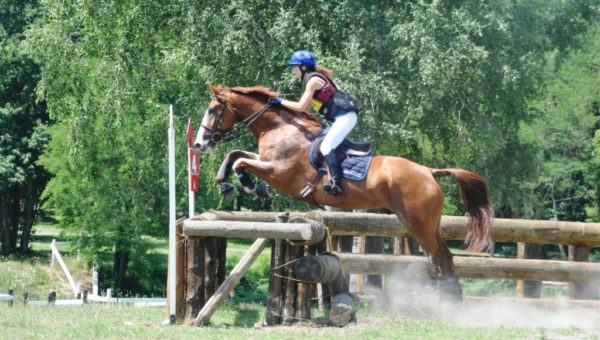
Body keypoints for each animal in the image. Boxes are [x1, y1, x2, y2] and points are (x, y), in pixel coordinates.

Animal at [193, 83, 492, 298]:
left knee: (440, 256)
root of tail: (429, 171)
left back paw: (448, 301)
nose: (199, 144)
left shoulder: (279, 173)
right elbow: (235, 154)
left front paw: (249, 186)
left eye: (212, 109)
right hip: (424, 223)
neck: (280, 128)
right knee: (443, 256)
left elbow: (241, 161)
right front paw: (226, 183)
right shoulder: (266, 161)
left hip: (419, 222)